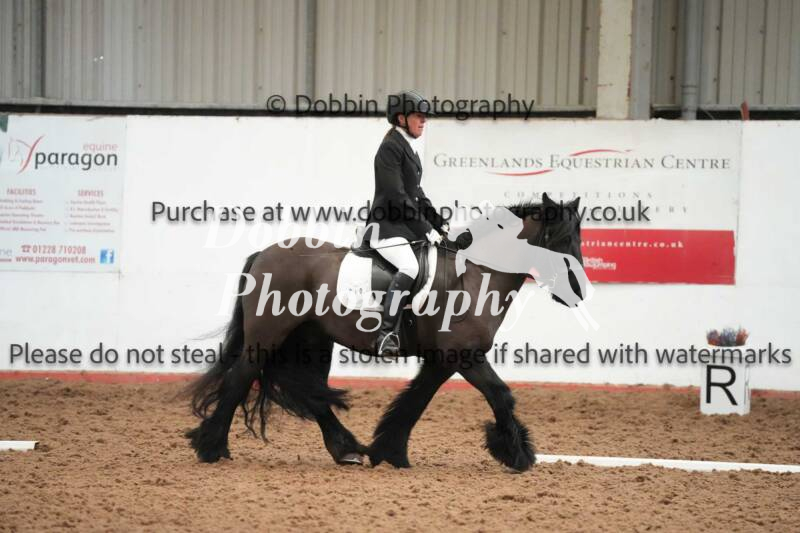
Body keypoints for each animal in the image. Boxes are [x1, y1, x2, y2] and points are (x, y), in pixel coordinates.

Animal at [185, 193, 586, 472]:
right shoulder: (465, 356)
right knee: (241, 377)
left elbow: (414, 400)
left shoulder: (443, 360)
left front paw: (390, 451)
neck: (473, 275)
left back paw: (346, 449)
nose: (578, 292)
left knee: (308, 392)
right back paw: (211, 447)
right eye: (559, 240)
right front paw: (518, 454)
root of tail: (264, 254)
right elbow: (501, 395)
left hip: (312, 340)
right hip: (267, 335)